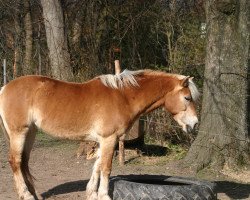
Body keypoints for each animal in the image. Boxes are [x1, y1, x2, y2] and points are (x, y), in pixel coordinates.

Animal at [0, 69, 199, 200]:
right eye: (187, 98)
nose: (195, 124)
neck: (123, 97)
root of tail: (5, 88)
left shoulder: (104, 141)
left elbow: (97, 165)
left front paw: (92, 193)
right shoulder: (109, 138)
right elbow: (106, 167)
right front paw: (104, 195)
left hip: (31, 132)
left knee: (24, 161)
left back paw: (34, 194)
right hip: (19, 132)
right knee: (15, 161)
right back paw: (26, 195)